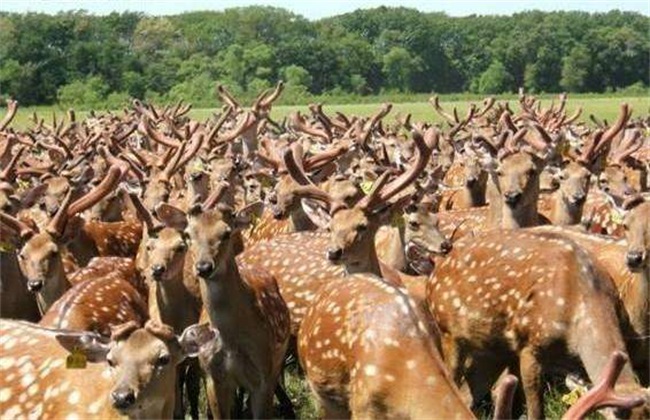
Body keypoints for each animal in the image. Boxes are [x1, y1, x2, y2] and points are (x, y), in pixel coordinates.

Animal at [426, 230, 648, 420]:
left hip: (492, 349)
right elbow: (535, 409)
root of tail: (434, 274)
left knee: (468, 395)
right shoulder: (530, 344)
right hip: (448, 331)